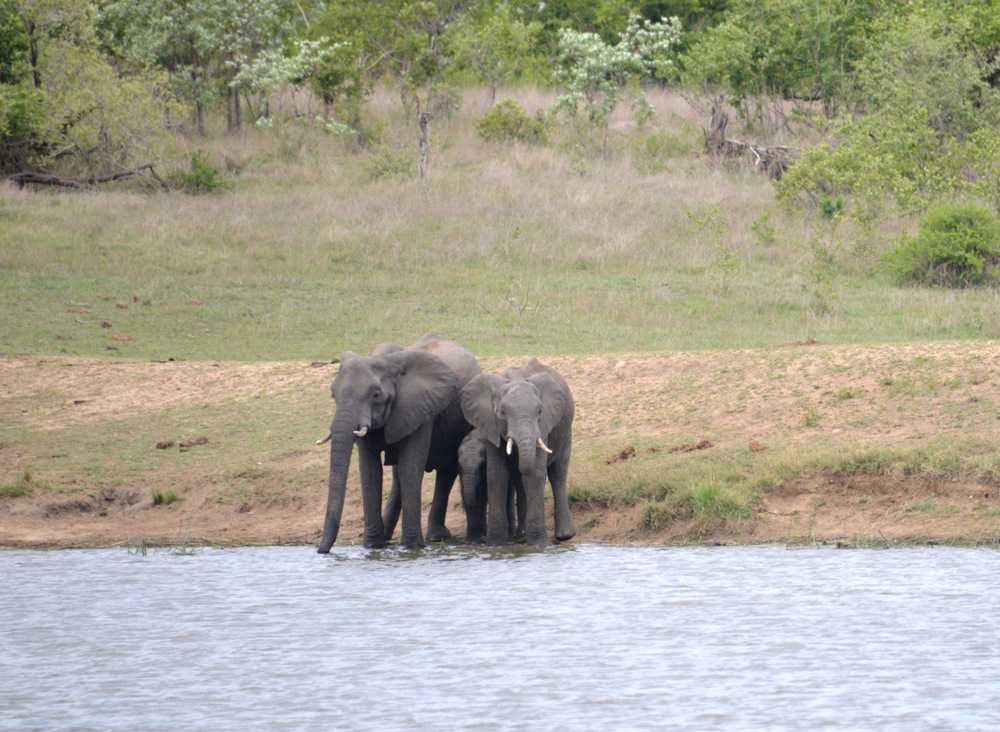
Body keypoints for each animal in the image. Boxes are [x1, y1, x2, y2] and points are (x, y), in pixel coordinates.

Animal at [316, 334, 480, 552]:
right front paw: (372, 546)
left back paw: (436, 537)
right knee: (397, 476)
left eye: (376, 394)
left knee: (446, 471)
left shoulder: (420, 405)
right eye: (333, 394)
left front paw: (413, 546)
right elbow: (370, 472)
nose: (321, 551)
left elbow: (410, 468)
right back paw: (387, 536)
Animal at [458, 358, 576, 548]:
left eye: (540, 411)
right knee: (520, 482)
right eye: (502, 412)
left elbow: (535, 474)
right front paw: (496, 545)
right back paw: (521, 536)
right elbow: (496, 475)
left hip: (565, 429)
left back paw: (563, 536)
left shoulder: (543, 425)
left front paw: (540, 545)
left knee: (558, 472)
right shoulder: (489, 423)